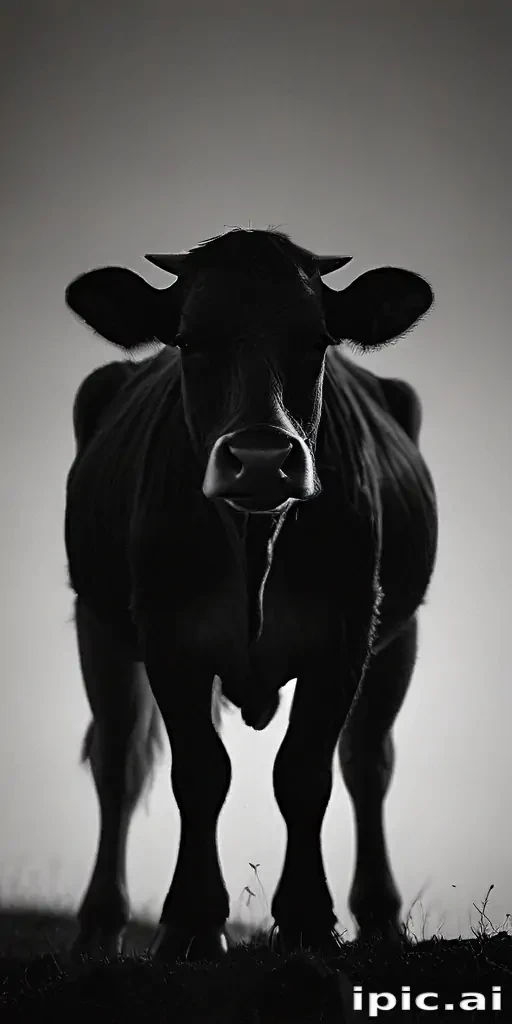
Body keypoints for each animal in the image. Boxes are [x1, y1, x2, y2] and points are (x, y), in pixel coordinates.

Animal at [64, 227, 437, 962]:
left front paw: (307, 921)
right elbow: (200, 772)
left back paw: (380, 918)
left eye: (316, 340)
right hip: (97, 623)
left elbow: (305, 772)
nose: (262, 458)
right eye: (190, 340)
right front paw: (190, 924)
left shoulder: (347, 631)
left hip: (398, 637)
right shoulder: (166, 634)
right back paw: (98, 926)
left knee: (367, 763)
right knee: (116, 763)